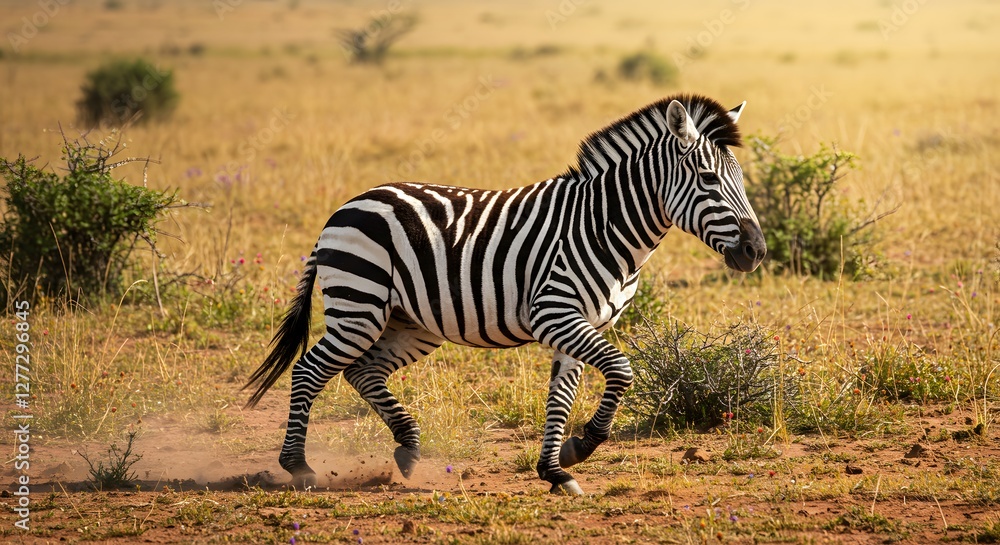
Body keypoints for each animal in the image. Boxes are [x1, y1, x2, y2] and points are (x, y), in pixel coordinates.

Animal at [244, 94, 765, 495]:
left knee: (361, 371)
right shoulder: (555, 313)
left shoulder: (583, 322)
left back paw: (408, 448)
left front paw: (556, 469)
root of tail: (346, 206)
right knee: (310, 370)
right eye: (709, 180)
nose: (756, 251)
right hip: (360, 306)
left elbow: (561, 396)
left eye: (740, 180)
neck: (606, 227)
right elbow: (621, 370)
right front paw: (581, 446)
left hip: (409, 322)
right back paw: (299, 468)